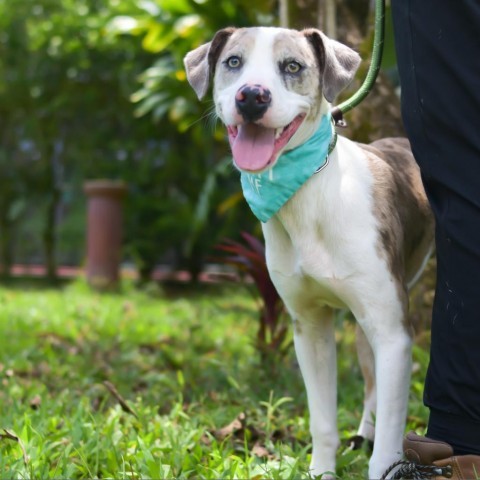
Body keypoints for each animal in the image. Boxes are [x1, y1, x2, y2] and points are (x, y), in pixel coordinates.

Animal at [184, 27, 436, 480]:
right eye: (233, 62)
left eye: (292, 66)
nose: (252, 96)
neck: (307, 192)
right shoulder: (310, 325)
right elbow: (322, 419)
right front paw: (322, 469)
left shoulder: (393, 331)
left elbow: (390, 442)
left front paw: (383, 463)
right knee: (371, 383)